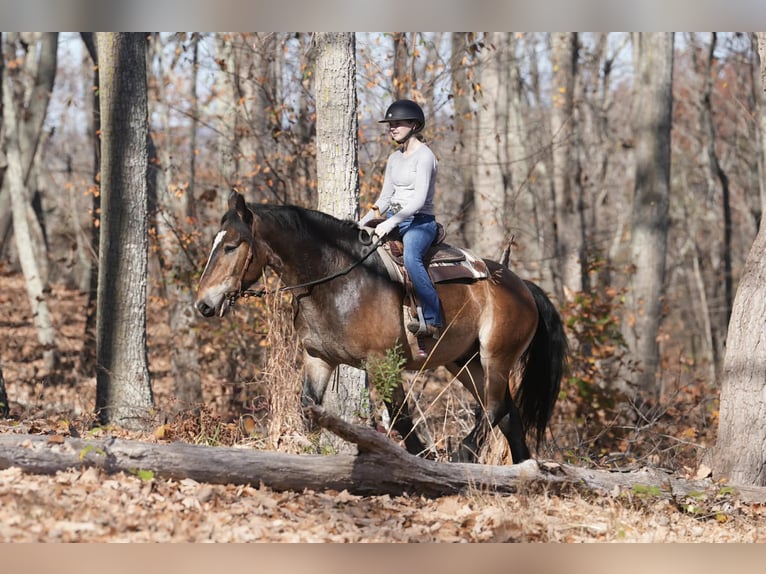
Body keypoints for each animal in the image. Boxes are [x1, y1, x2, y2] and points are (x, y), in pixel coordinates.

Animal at [195, 190, 568, 464]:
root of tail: (522, 286)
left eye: (230, 246)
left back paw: (463, 455)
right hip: (465, 362)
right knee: (508, 414)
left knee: (494, 408)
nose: (204, 304)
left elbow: (401, 417)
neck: (337, 280)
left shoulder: (382, 361)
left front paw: (423, 461)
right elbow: (309, 411)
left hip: (496, 356)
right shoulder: (318, 359)